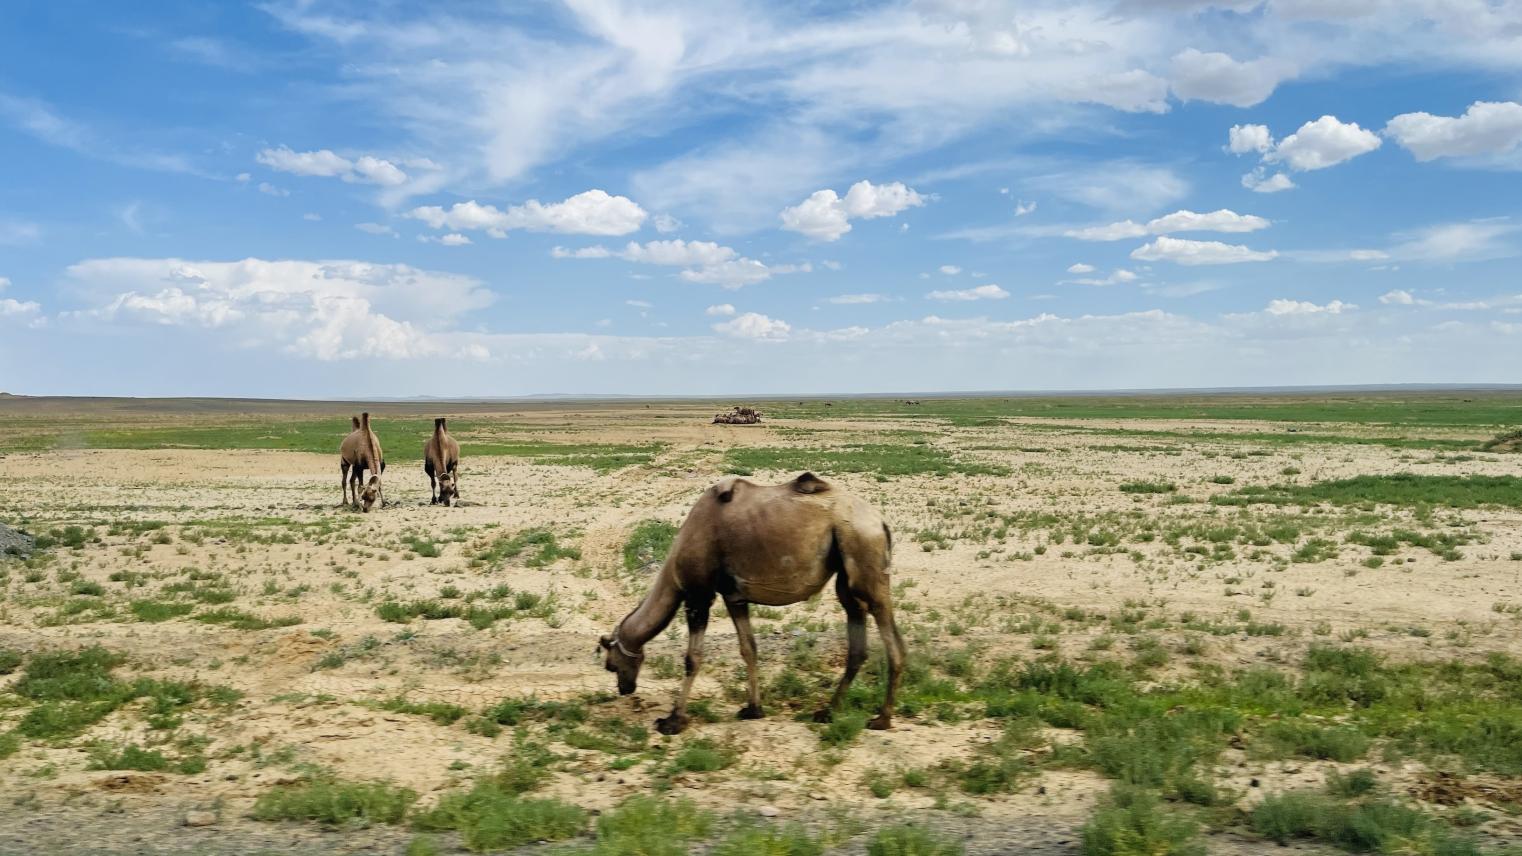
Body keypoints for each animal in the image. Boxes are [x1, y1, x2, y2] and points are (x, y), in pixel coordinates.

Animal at [593, 466, 901, 734]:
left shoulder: (698, 595)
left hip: (863, 551)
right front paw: (753, 709)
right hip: (845, 572)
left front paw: (673, 721)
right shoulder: (734, 597)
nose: (625, 689)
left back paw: (882, 718)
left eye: (611, 665)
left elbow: (693, 658)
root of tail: (881, 522)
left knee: (889, 632)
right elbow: (749, 649)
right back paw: (828, 711)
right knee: (856, 633)